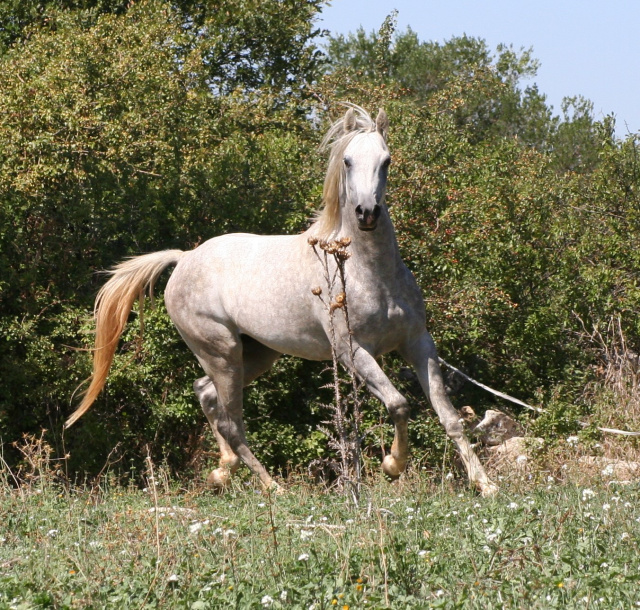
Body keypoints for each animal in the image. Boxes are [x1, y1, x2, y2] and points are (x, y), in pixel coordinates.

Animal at [70, 104, 498, 494]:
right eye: (347, 161)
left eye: (386, 161)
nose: (367, 213)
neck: (370, 273)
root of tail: (184, 258)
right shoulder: (352, 351)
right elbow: (399, 404)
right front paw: (393, 465)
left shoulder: (418, 343)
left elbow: (449, 416)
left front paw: (486, 485)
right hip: (222, 354)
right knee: (232, 422)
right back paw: (272, 488)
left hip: (255, 354)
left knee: (205, 393)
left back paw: (223, 470)